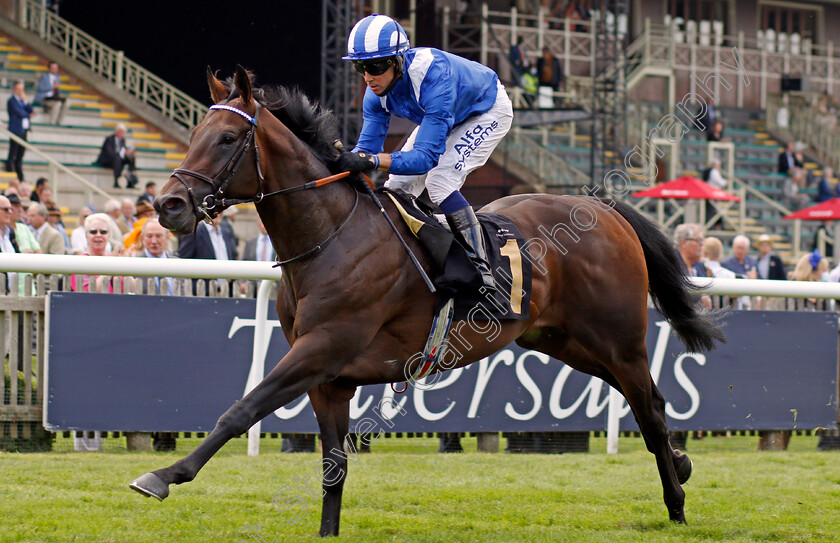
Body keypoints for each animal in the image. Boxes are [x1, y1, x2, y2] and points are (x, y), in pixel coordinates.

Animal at [130, 66, 720, 536]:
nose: (169, 204)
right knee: (652, 402)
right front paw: (327, 531)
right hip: (567, 342)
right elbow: (332, 464)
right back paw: (683, 464)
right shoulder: (329, 377)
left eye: (228, 137)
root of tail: (607, 210)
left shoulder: (323, 347)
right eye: (195, 134)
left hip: (618, 339)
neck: (330, 236)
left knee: (649, 412)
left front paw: (162, 475)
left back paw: (676, 503)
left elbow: (240, 410)